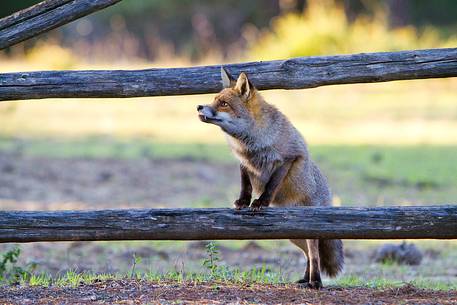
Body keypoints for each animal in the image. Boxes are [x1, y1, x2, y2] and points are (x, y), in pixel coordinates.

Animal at [196, 67, 342, 288]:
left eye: (223, 104)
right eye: (213, 100)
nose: (198, 106)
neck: (250, 143)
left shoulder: (288, 158)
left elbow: (271, 185)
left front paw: (260, 203)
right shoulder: (244, 164)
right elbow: (246, 185)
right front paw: (243, 202)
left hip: (308, 228)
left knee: (314, 253)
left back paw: (315, 282)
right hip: (294, 234)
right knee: (308, 255)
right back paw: (304, 279)